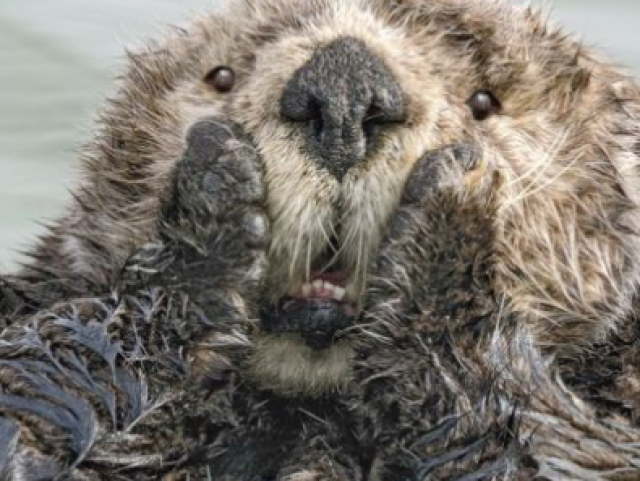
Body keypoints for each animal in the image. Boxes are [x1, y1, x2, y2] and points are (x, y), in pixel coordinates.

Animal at [3, 0, 640, 476]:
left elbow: (569, 451)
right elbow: (26, 391)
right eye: (221, 77)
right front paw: (210, 209)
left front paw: (452, 214)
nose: (342, 89)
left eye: (484, 102)